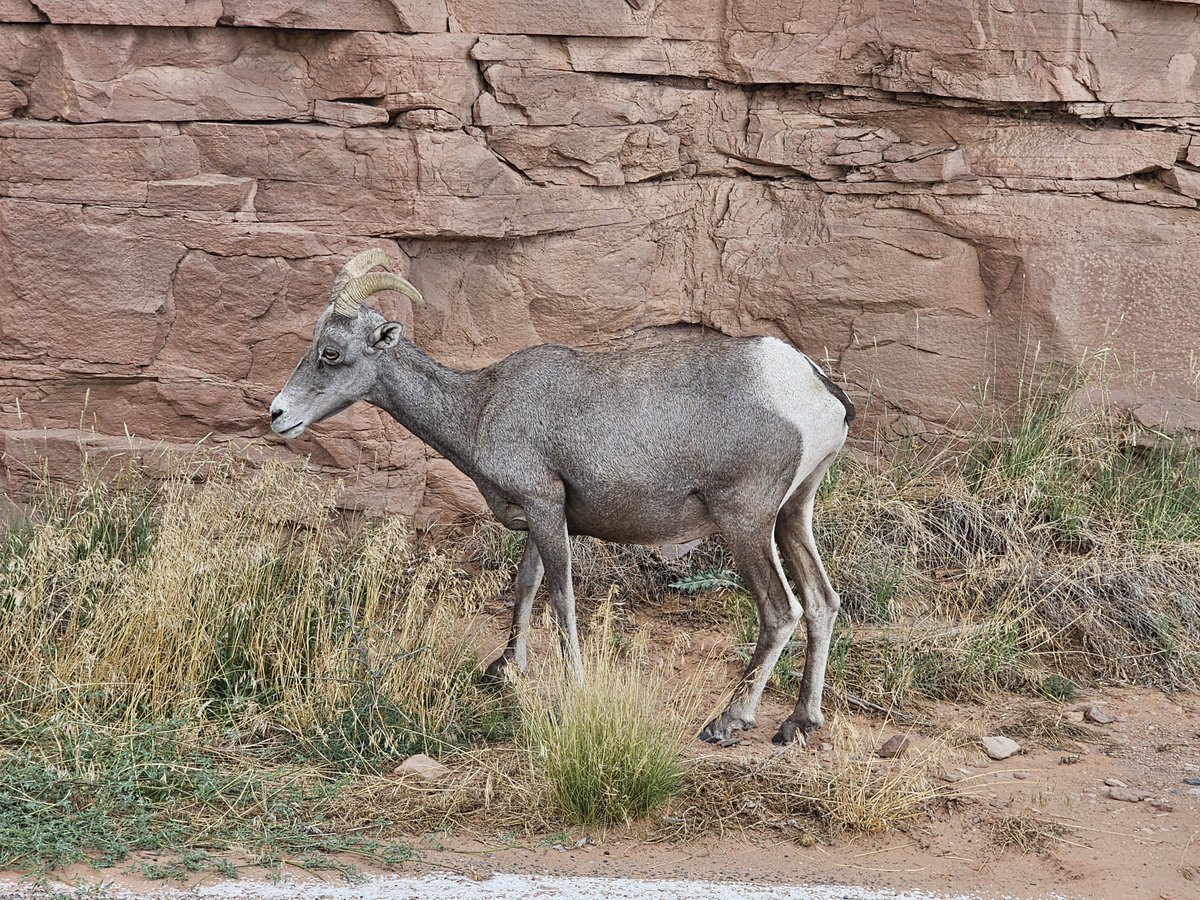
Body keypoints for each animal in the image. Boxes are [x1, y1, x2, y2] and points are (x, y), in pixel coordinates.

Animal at [269, 249, 855, 745]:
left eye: (330, 353)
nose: (278, 414)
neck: (479, 409)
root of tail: (816, 389)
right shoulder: (540, 514)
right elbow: (525, 585)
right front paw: (505, 669)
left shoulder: (546, 508)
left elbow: (561, 597)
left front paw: (574, 684)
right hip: (793, 514)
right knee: (822, 602)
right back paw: (800, 723)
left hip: (745, 521)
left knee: (781, 610)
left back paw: (728, 722)